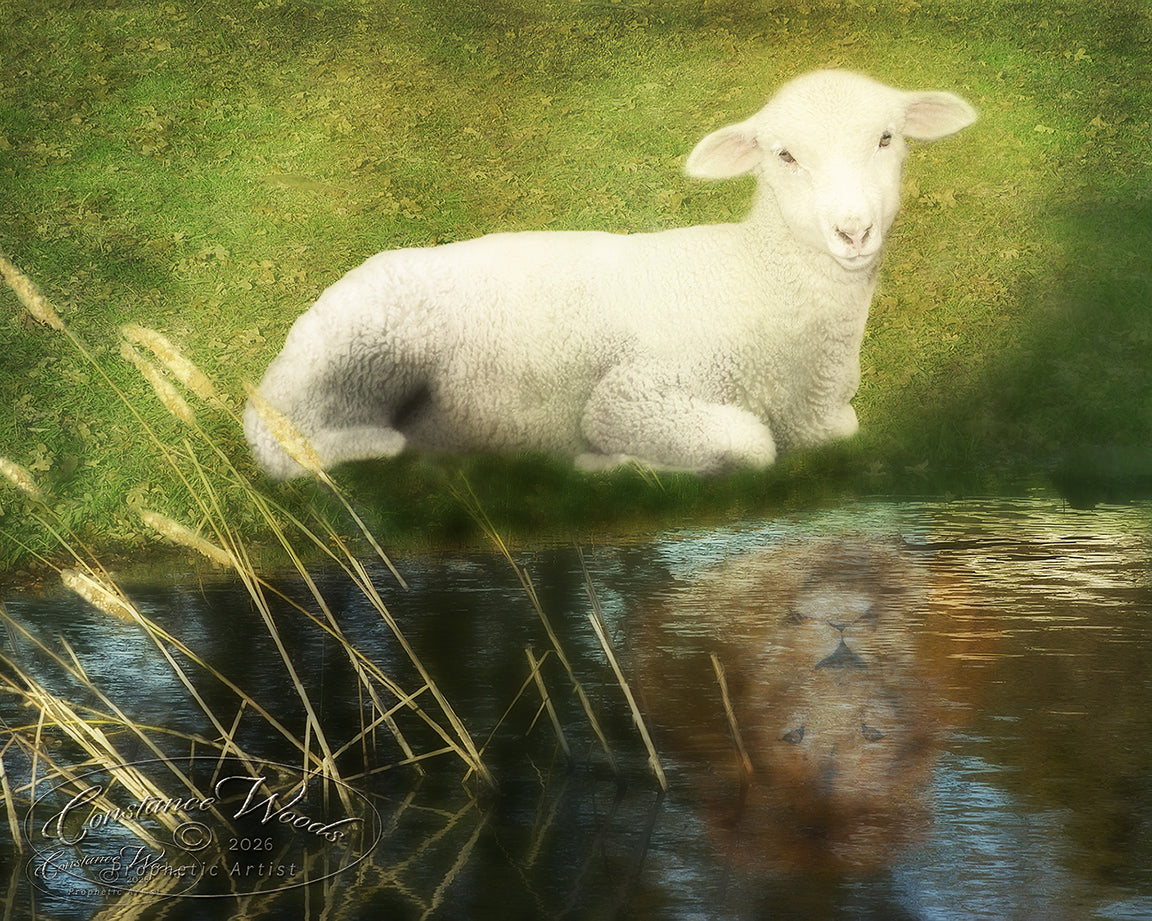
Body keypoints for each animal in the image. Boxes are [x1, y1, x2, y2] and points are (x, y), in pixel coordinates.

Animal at [244, 69, 976, 480]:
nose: (853, 232)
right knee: (292, 450)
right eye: (784, 155)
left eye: (888, 138)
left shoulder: (827, 417)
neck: (755, 277)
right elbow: (750, 446)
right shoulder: (635, 393)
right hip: (361, 354)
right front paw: (617, 463)